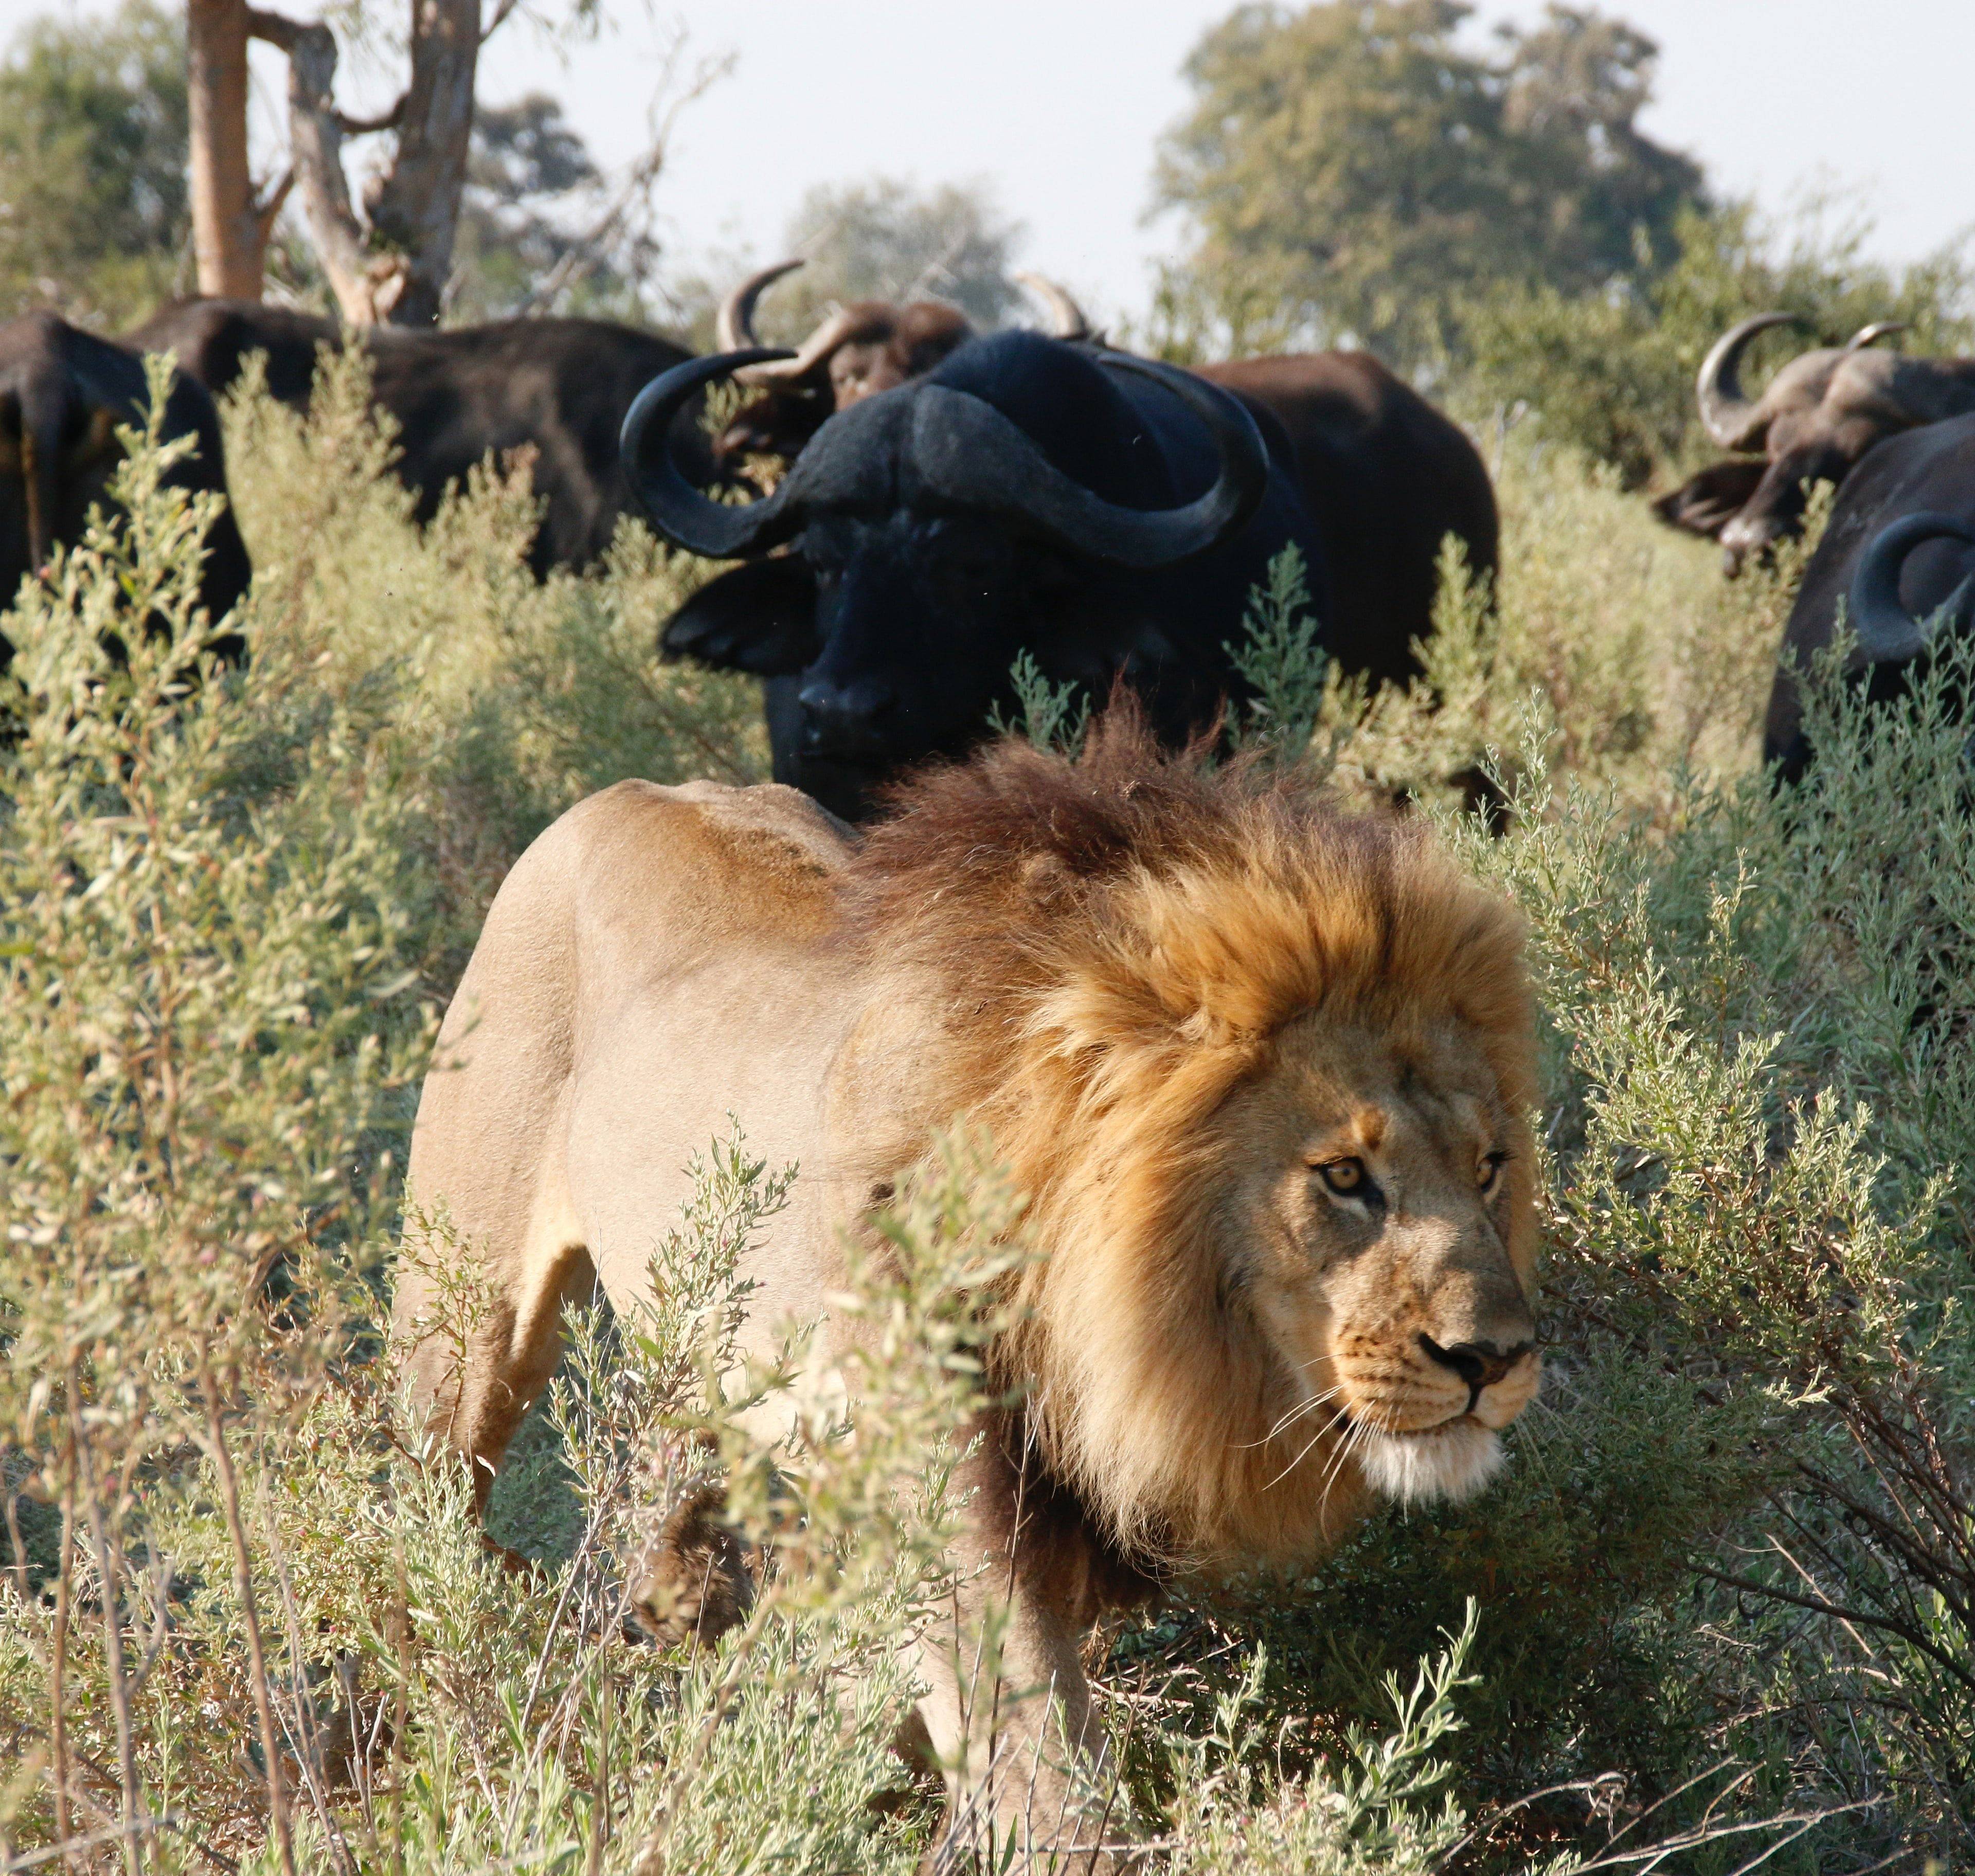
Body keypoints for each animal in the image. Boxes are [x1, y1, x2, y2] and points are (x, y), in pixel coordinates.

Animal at [397, 715, 1540, 1864]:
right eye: (1344, 1176)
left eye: (1490, 1167)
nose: (1494, 1360)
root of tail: (631, 788)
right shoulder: (954, 1512)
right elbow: (1046, 1774)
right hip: (461, 1328)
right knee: (421, 1520)